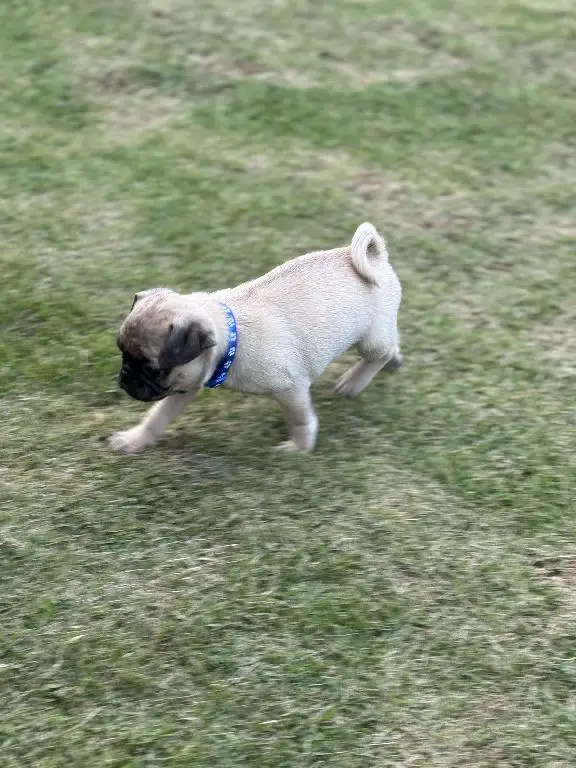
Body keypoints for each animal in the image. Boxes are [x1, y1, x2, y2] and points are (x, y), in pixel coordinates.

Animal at [110, 220, 402, 456]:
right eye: (123, 355)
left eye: (152, 369)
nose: (125, 375)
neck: (233, 337)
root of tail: (375, 256)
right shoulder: (186, 383)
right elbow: (158, 417)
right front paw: (135, 439)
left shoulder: (291, 388)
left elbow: (300, 420)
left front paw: (300, 447)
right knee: (393, 341)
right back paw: (394, 362)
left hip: (370, 340)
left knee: (380, 353)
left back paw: (355, 381)